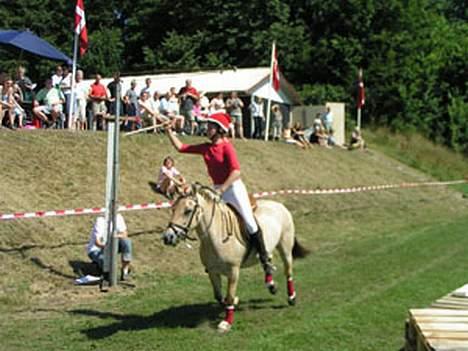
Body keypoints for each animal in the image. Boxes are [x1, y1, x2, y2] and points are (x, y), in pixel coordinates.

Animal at [163, 184, 308, 332]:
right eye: (173, 209)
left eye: (187, 211)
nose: (168, 237)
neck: (216, 236)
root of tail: (280, 205)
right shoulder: (212, 271)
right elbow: (219, 296)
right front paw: (235, 302)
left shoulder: (233, 271)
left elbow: (230, 296)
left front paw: (226, 322)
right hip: (269, 248)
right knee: (267, 260)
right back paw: (271, 285)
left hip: (285, 248)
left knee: (288, 271)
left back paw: (291, 297)